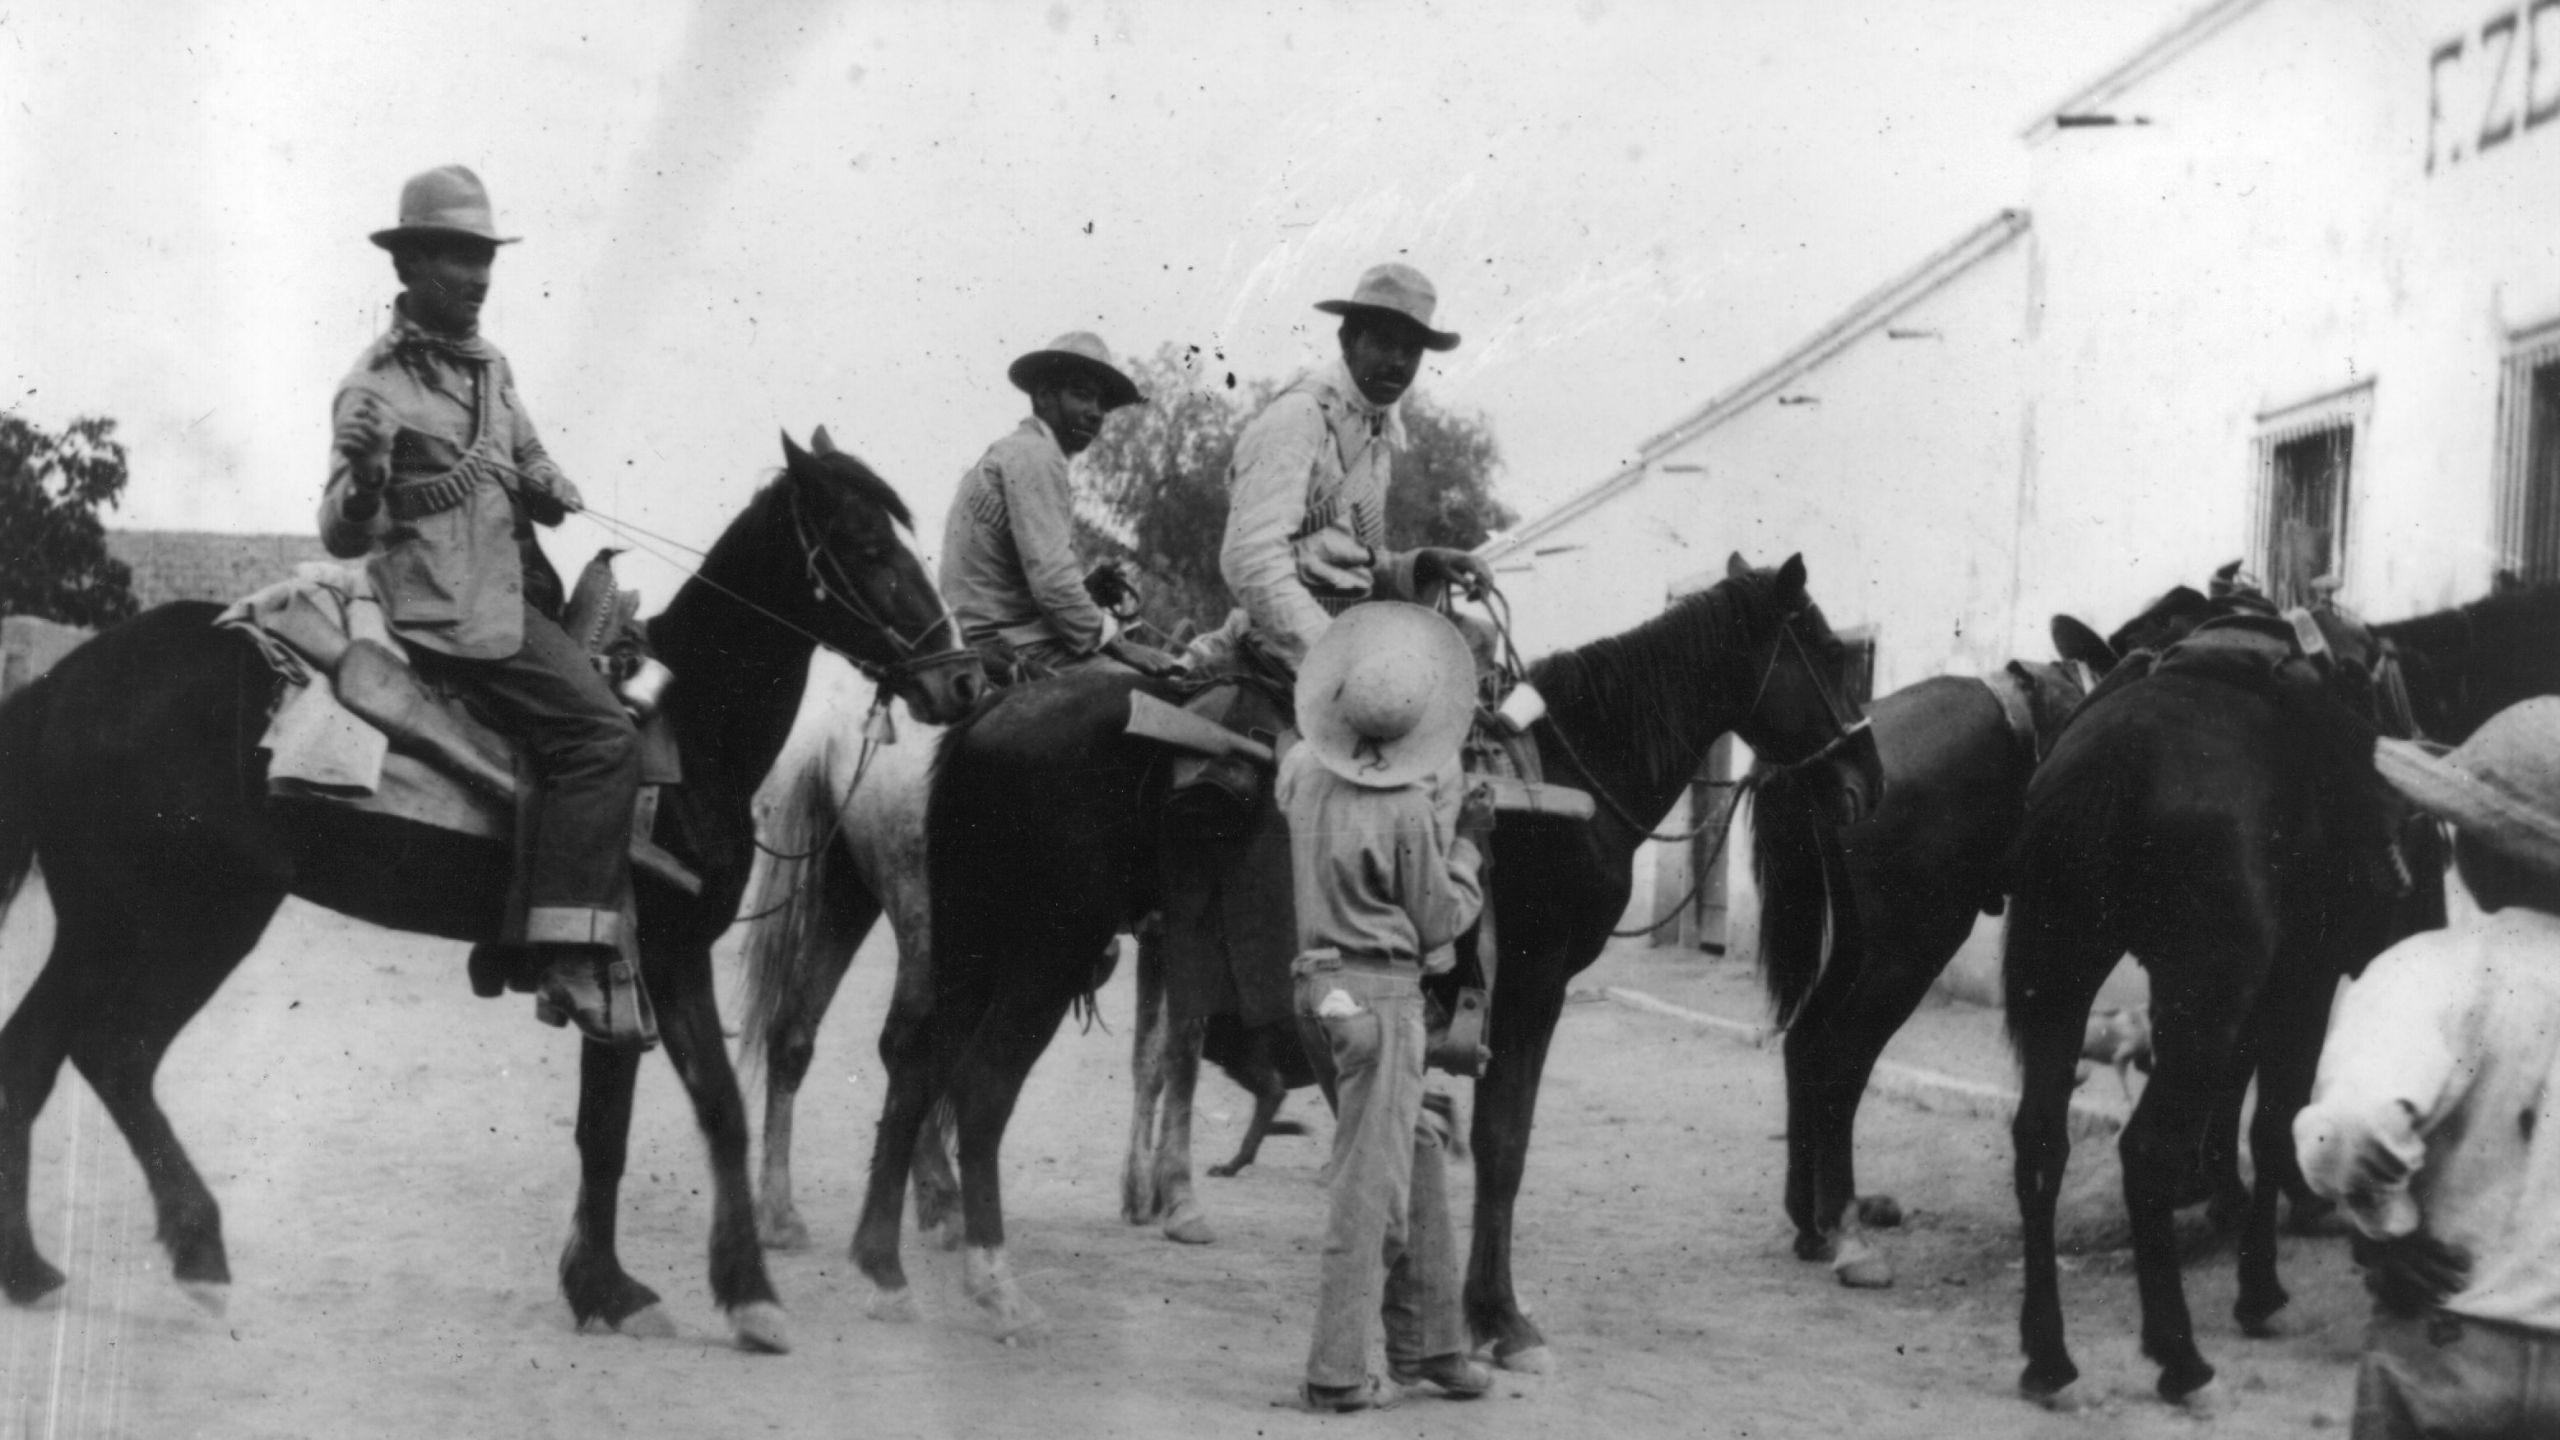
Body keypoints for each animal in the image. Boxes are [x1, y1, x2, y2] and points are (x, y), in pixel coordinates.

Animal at [0, 425, 977, 1342]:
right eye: (865, 543)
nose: (962, 679)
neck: (690, 734)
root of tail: (60, 682)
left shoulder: (635, 968)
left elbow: (673, 1120)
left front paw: (679, 1292)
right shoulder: (651, 957)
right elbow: (641, 1127)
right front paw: (658, 1291)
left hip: (112, 924)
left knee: (38, 1053)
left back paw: (33, 1270)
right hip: (191, 918)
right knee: (115, 1053)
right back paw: (198, 1254)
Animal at [808, 548, 1894, 1342]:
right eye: (1825, 650)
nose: (1866, 785)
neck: (1565, 771)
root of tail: (991, 713)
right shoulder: (1531, 985)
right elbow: (1503, 1144)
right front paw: (1499, 1319)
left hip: (972, 944)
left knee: (917, 1071)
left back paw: (884, 1266)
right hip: (1046, 947)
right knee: (981, 1087)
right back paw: (994, 1283)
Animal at [1996, 576, 2560, 1393]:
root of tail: (2116, 753)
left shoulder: (2265, 984)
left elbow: (2245, 1098)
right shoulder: (2307, 974)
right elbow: (2275, 1116)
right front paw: (2260, 1281)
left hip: (2068, 978)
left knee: (2040, 1142)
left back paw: (2046, 1352)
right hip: (2206, 986)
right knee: (2146, 1149)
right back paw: (2177, 1351)